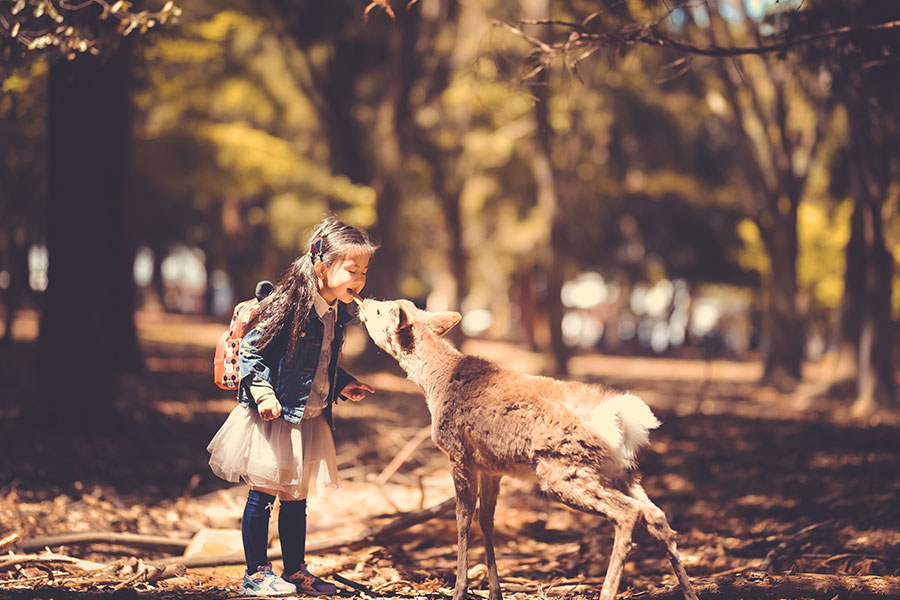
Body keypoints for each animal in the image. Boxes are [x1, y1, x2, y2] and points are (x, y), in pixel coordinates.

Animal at [356, 298, 700, 600]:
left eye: (381, 310)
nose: (363, 301)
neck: (434, 384)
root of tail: (620, 420)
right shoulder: (491, 467)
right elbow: (486, 520)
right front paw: (495, 592)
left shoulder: (458, 453)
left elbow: (462, 520)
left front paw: (459, 590)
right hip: (620, 471)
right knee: (657, 515)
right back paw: (690, 592)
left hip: (562, 469)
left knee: (629, 513)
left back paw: (607, 591)